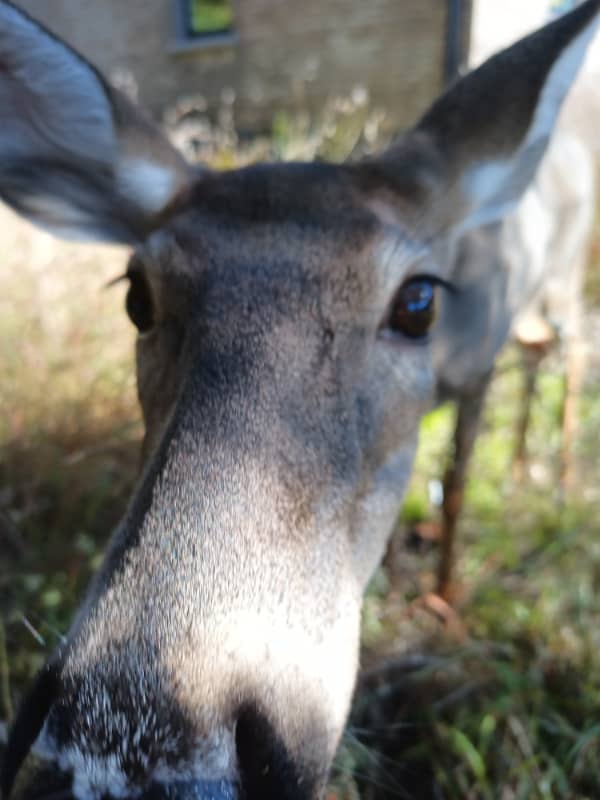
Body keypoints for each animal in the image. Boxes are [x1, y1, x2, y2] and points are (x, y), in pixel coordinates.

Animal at [0, 1, 596, 800]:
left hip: (562, 280)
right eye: (135, 295)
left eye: (418, 302)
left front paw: (446, 606)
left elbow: (458, 488)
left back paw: (556, 477)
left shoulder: (482, 359)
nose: (124, 748)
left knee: (573, 348)